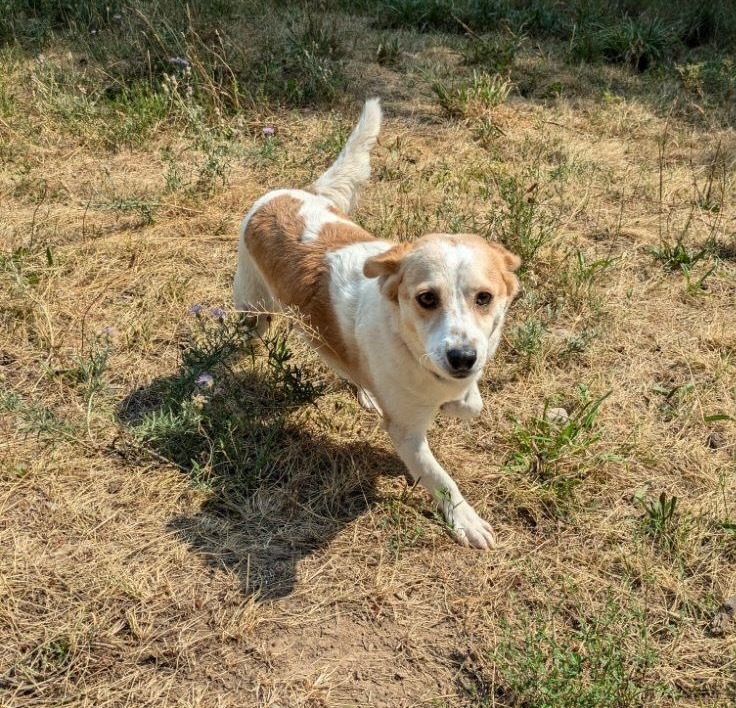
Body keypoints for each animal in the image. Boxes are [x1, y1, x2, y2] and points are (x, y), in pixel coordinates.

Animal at [233, 99, 520, 552]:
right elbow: (440, 478)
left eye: (484, 298)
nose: (462, 358)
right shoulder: (405, 432)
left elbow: (471, 404)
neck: (411, 347)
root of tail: (282, 195)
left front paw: (460, 402)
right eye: (426, 299)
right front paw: (466, 520)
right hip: (255, 309)